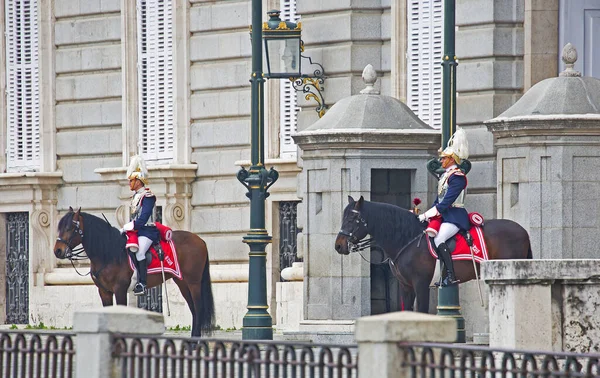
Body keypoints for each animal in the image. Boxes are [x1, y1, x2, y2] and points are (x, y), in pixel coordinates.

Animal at [52, 207, 214, 336]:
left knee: (198, 308)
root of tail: (200, 240)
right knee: (193, 309)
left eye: (70, 228)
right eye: (60, 227)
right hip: (182, 282)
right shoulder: (104, 291)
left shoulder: (120, 290)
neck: (108, 253)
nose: (57, 251)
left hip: (193, 282)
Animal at [332, 196, 536, 312]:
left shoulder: (421, 284)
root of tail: (523, 231)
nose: (339, 246)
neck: (407, 239)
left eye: (353, 218)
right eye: (343, 217)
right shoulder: (405, 286)